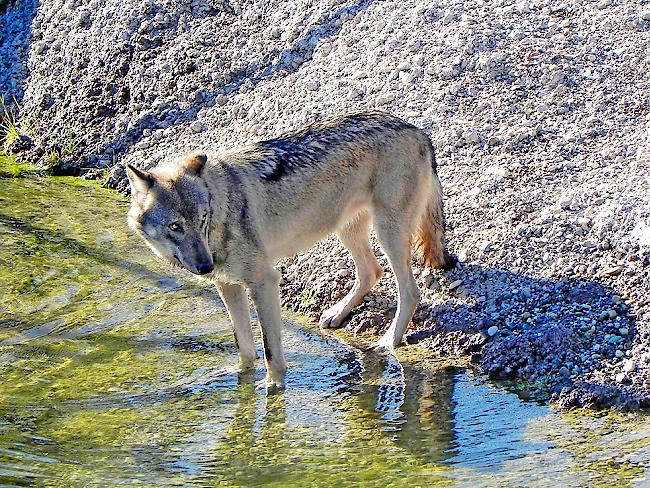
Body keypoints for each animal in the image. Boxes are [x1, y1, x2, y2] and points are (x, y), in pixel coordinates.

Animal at [125, 111, 450, 388]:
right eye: (175, 226)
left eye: (202, 219)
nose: (206, 267)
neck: (224, 206)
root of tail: (417, 130)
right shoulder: (228, 286)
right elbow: (245, 349)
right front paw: (241, 381)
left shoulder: (264, 282)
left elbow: (270, 351)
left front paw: (272, 389)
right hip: (347, 229)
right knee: (371, 271)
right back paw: (337, 314)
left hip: (387, 234)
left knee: (410, 292)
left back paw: (388, 342)